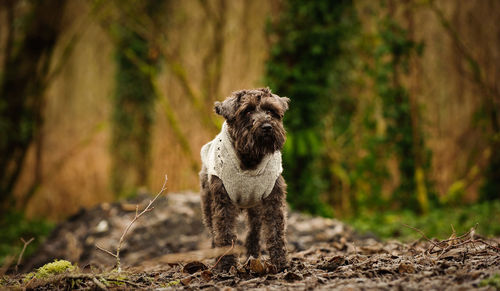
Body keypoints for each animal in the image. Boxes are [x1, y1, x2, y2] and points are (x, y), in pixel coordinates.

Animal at [200, 88, 290, 272]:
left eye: (271, 111)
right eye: (247, 111)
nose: (267, 126)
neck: (251, 158)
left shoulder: (274, 200)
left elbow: (276, 230)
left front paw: (280, 261)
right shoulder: (223, 203)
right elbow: (224, 232)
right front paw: (226, 264)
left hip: (255, 209)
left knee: (253, 232)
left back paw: (253, 256)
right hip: (207, 206)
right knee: (213, 231)